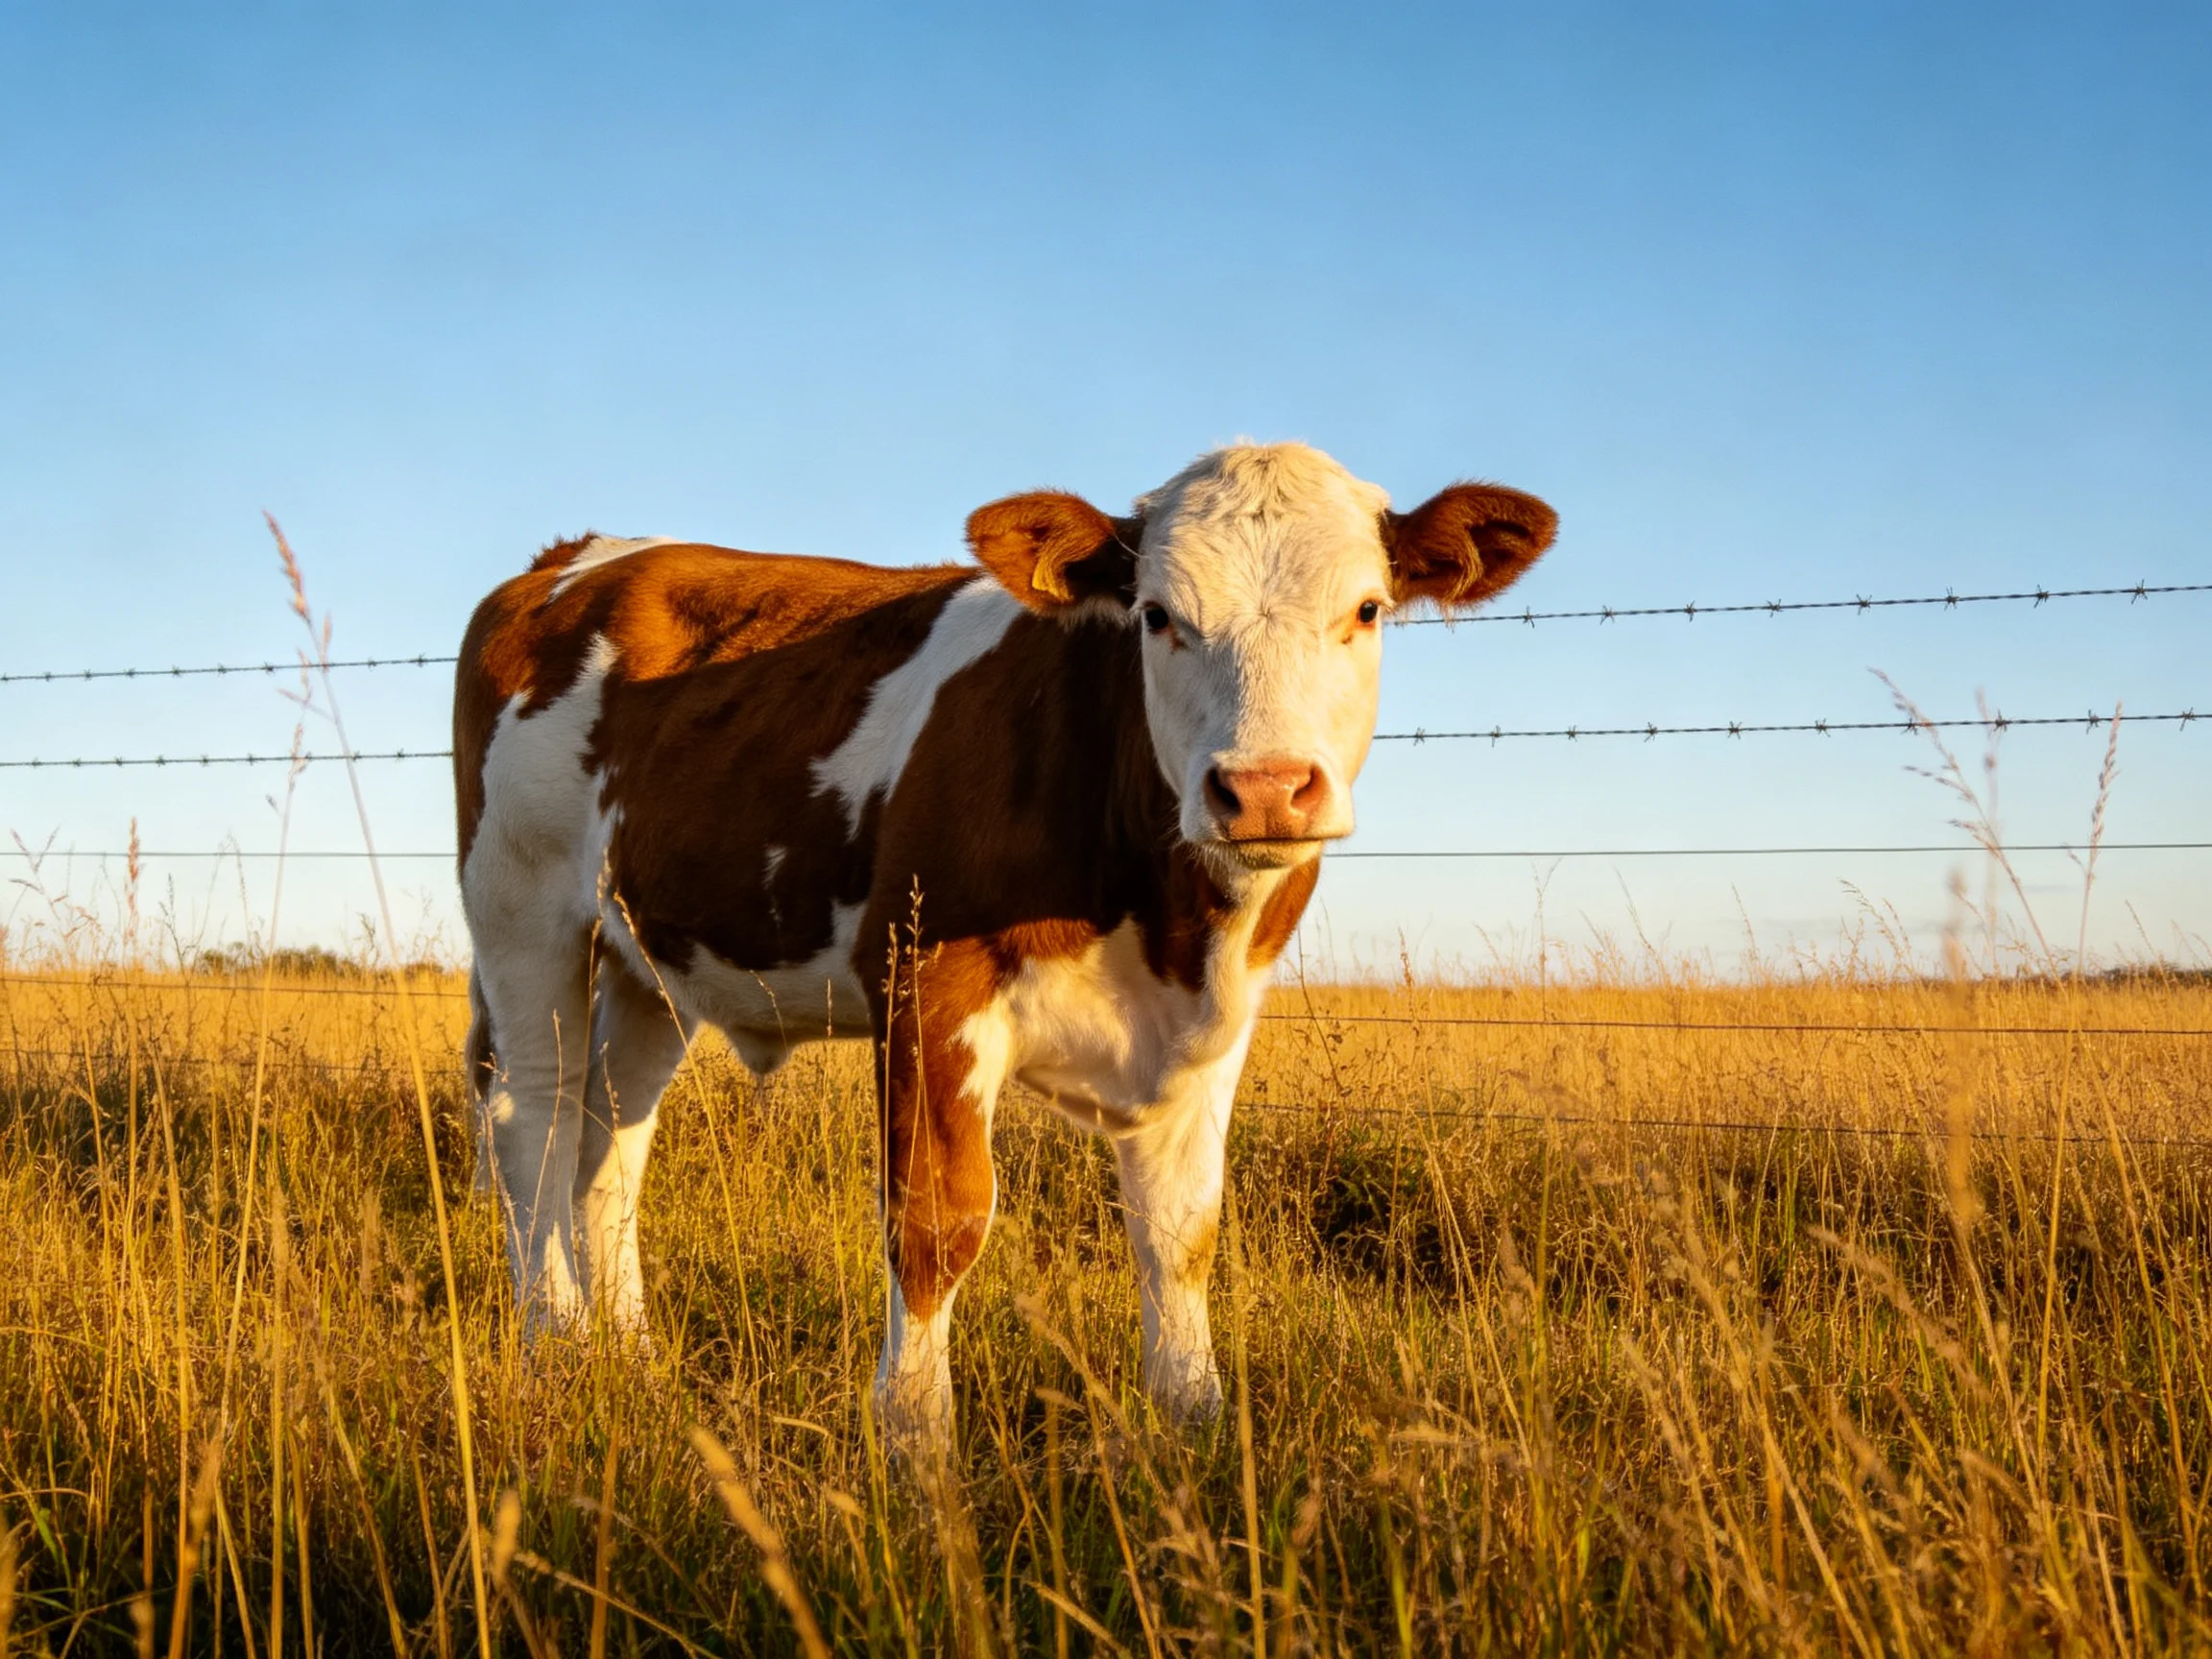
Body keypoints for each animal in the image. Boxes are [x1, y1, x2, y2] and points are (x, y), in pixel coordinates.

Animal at [453, 441, 1556, 1441]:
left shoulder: (1217, 1021)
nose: (1265, 788)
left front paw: (1192, 1420)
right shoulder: (926, 985)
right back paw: (555, 1350)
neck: (1167, 918)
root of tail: (583, 557)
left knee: (610, 1136)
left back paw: (632, 1359)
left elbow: (1181, 1232)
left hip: (653, 961)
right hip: (522, 906)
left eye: (1366, 609)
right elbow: (935, 1222)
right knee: (532, 1119)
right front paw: (914, 1439)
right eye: (1158, 615)